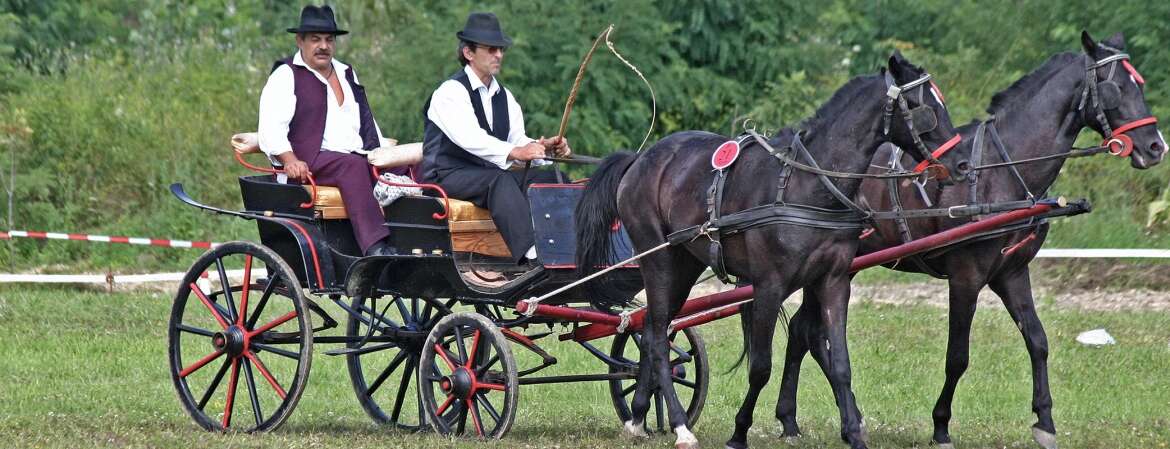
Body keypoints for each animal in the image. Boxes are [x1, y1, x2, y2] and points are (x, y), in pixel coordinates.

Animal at [570, 53, 964, 449]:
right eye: (923, 107)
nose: (960, 163)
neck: (807, 184)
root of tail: (640, 160)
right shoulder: (769, 285)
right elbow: (760, 367)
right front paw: (739, 431)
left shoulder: (834, 281)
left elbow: (841, 364)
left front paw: (854, 434)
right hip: (658, 259)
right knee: (656, 337)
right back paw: (681, 426)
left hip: (685, 263)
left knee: (654, 331)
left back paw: (638, 417)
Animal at [772, 31, 1165, 449]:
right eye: (1116, 88)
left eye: (1139, 84)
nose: (1156, 146)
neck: (1002, 173)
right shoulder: (966, 276)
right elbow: (957, 356)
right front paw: (941, 425)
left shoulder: (1012, 272)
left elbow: (1038, 341)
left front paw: (1044, 421)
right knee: (811, 333)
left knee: (803, 331)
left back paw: (794, 419)